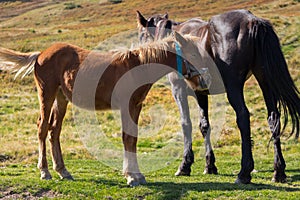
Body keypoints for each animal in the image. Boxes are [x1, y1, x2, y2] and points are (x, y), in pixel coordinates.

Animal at [0, 32, 212, 187]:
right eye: (193, 55)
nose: (205, 82)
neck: (138, 66)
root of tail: (41, 54)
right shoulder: (126, 106)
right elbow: (127, 138)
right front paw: (131, 176)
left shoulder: (135, 107)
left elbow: (133, 138)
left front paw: (137, 175)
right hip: (47, 94)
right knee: (43, 128)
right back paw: (44, 171)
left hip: (61, 98)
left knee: (55, 130)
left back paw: (63, 171)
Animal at [137, 9, 298, 184]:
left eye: (142, 35)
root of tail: (252, 21)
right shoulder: (200, 93)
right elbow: (204, 126)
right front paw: (209, 165)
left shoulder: (178, 89)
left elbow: (186, 124)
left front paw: (185, 165)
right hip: (265, 81)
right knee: (273, 119)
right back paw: (279, 171)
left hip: (233, 86)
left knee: (243, 117)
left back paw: (244, 172)